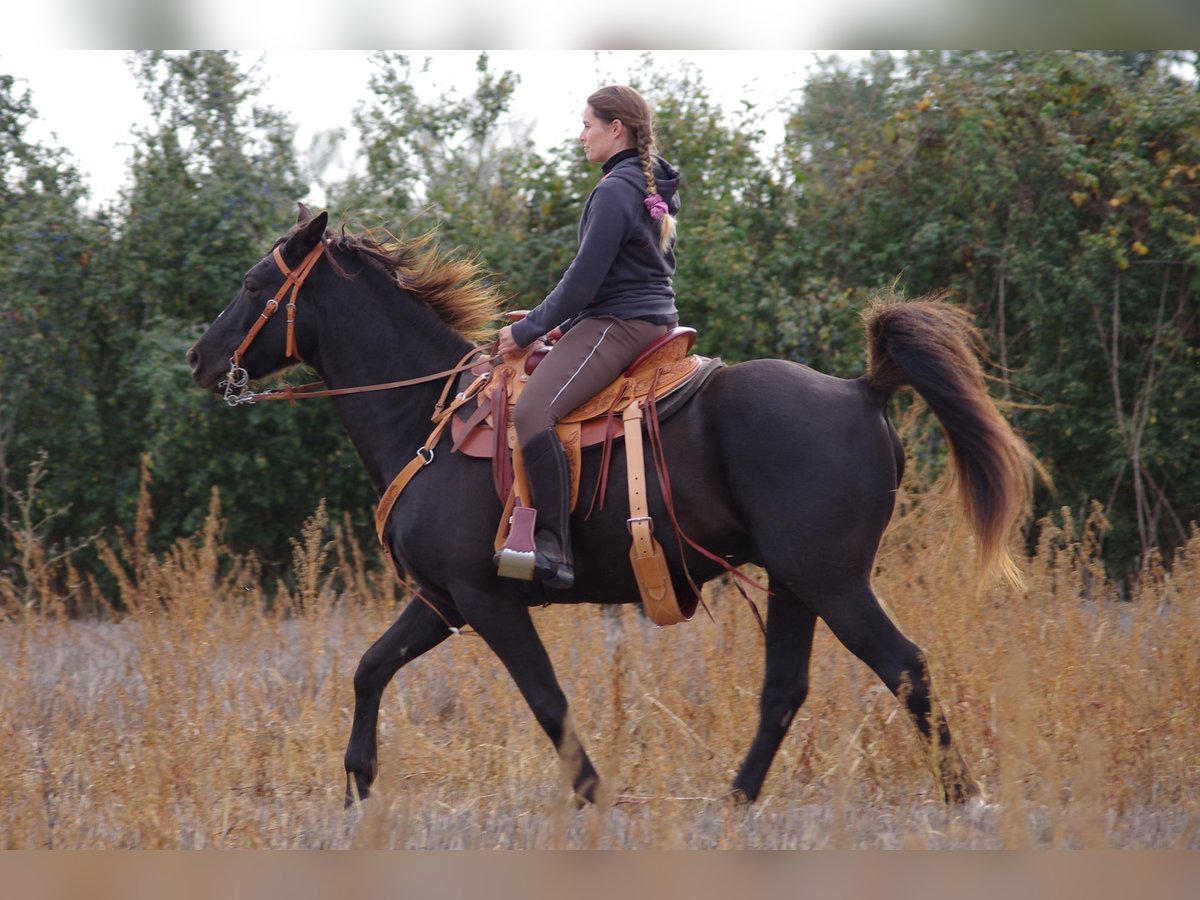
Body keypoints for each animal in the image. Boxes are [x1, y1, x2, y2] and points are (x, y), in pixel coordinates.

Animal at [187, 206, 1032, 811]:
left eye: (257, 283)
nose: (199, 358)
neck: (427, 416)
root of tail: (863, 388)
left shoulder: (488, 600)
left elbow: (547, 701)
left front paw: (595, 795)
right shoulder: (441, 601)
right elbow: (370, 668)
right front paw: (359, 780)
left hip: (835, 583)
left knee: (905, 668)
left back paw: (966, 797)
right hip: (797, 585)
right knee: (785, 692)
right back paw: (733, 801)